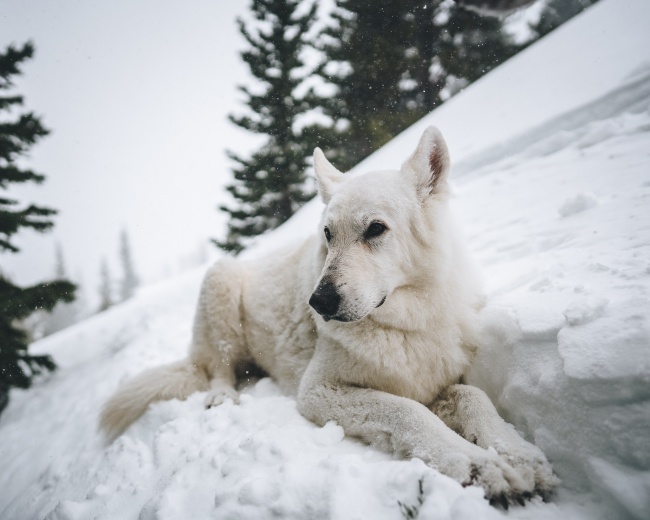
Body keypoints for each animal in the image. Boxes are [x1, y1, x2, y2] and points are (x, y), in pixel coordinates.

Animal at [101, 126, 556, 504]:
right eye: (327, 234)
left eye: (375, 229)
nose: (318, 302)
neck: (404, 324)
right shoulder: (319, 391)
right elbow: (407, 412)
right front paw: (476, 464)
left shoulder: (435, 379)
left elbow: (474, 397)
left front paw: (518, 455)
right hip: (220, 280)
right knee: (217, 368)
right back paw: (222, 396)